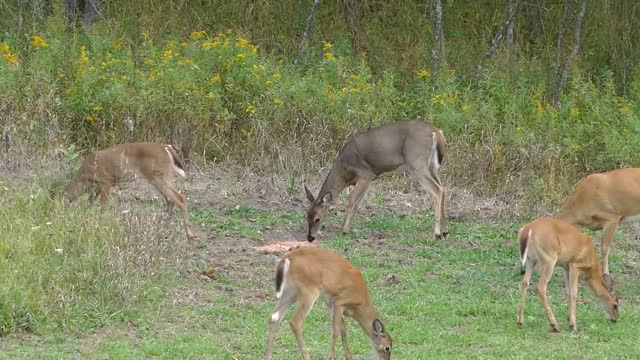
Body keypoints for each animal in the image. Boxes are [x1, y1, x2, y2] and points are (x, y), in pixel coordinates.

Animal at [62, 142, 194, 240]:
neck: (84, 178)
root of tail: (166, 147)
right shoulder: (96, 189)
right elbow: (90, 204)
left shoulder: (106, 181)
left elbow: (103, 207)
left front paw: (101, 225)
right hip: (161, 176)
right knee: (170, 200)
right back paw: (163, 229)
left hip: (158, 175)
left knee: (180, 198)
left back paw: (190, 235)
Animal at [304, 120, 444, 242]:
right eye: (307, 216)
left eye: (317, 219)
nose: (310, 237)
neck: (345, 172)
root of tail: (437, 132)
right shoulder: (368, 180)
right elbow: (357, 204)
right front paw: (347, 230)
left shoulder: (365, 174)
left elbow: (352, 201)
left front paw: (343, 230)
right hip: (432, 166)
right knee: (443, 188)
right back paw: (444, 231)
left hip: (416, 163)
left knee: (437, 189)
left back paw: (436, 233)